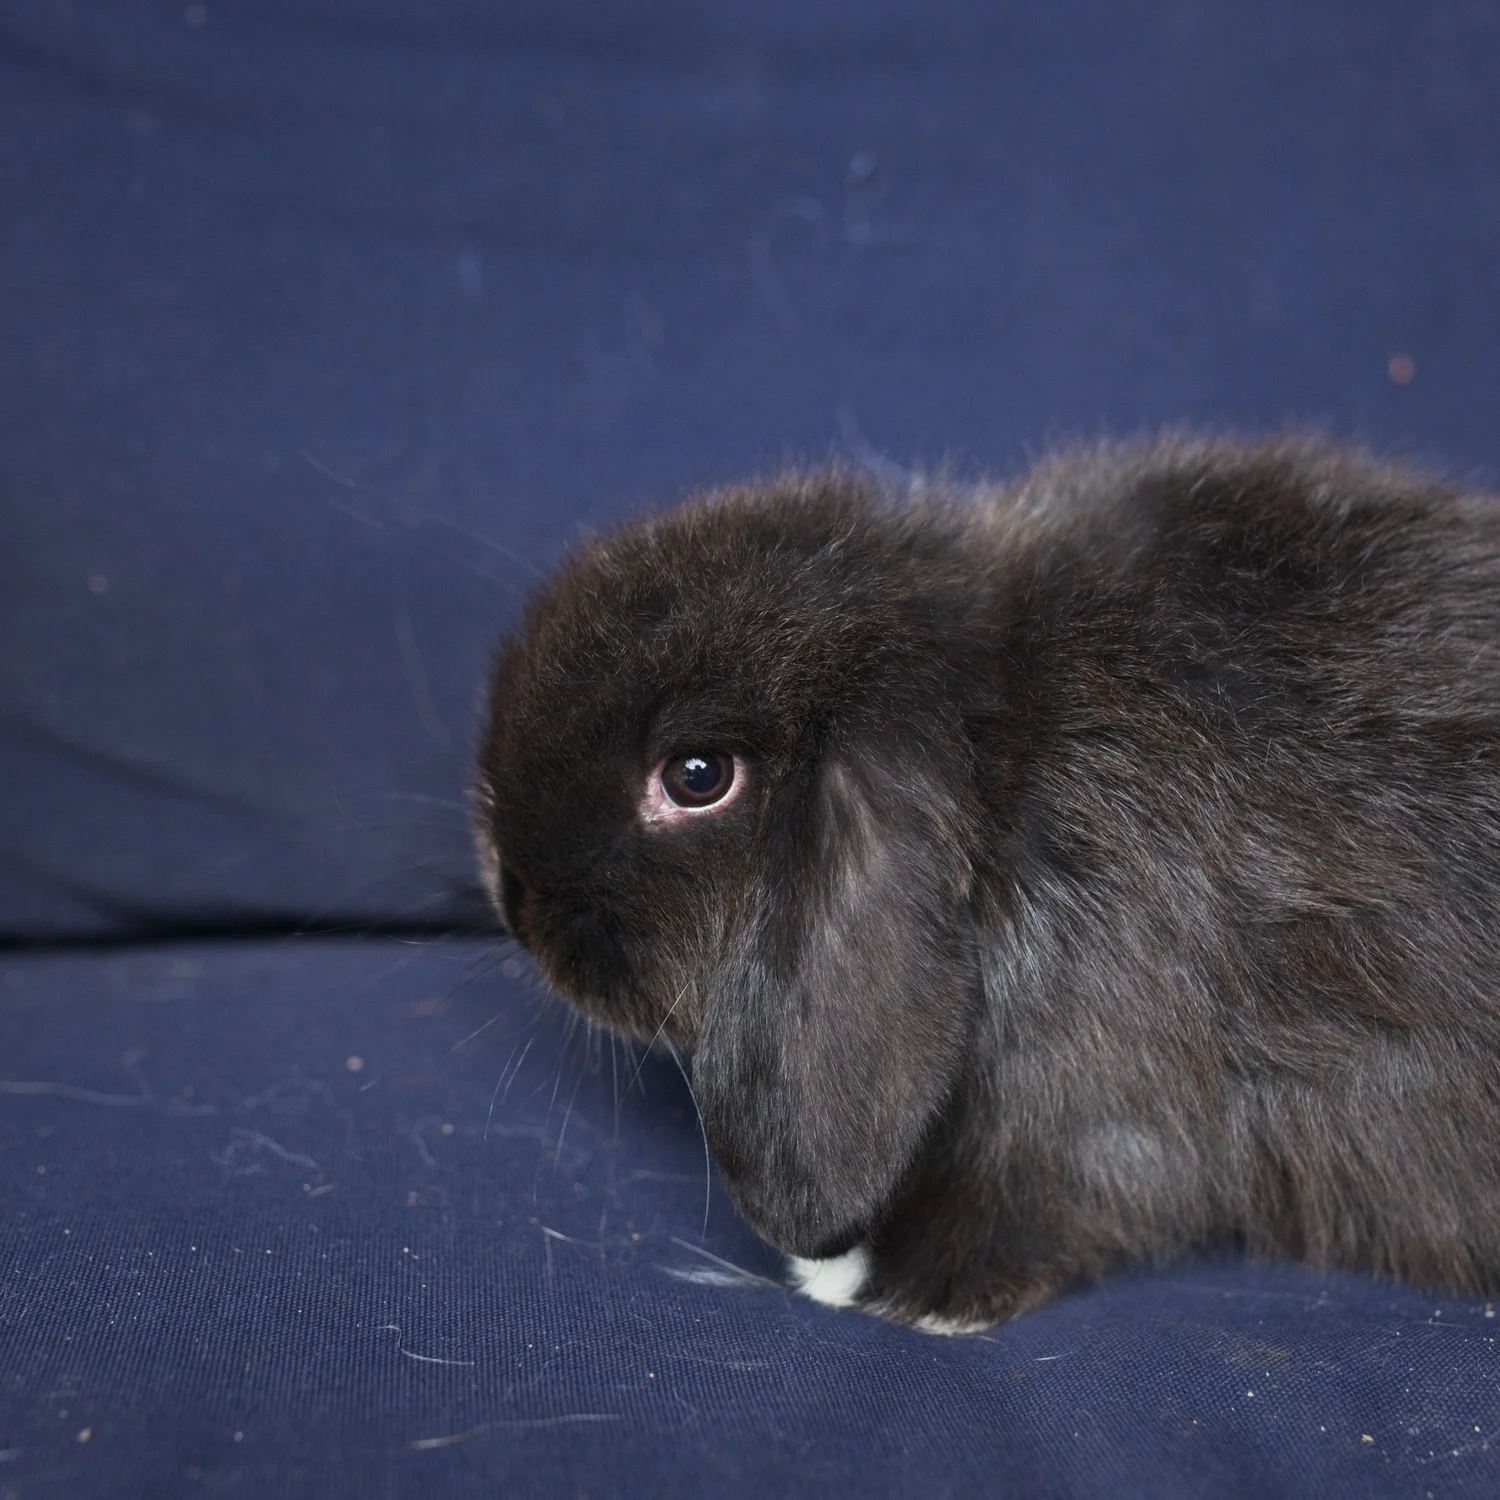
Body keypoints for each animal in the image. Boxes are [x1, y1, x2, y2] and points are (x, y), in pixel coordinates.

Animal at [472, 434, 1500, 1331]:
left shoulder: (1097, 1095)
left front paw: (891, 1285)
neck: (1000, 757)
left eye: (696, 777)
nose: (513, 899)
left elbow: (1066, 1194)